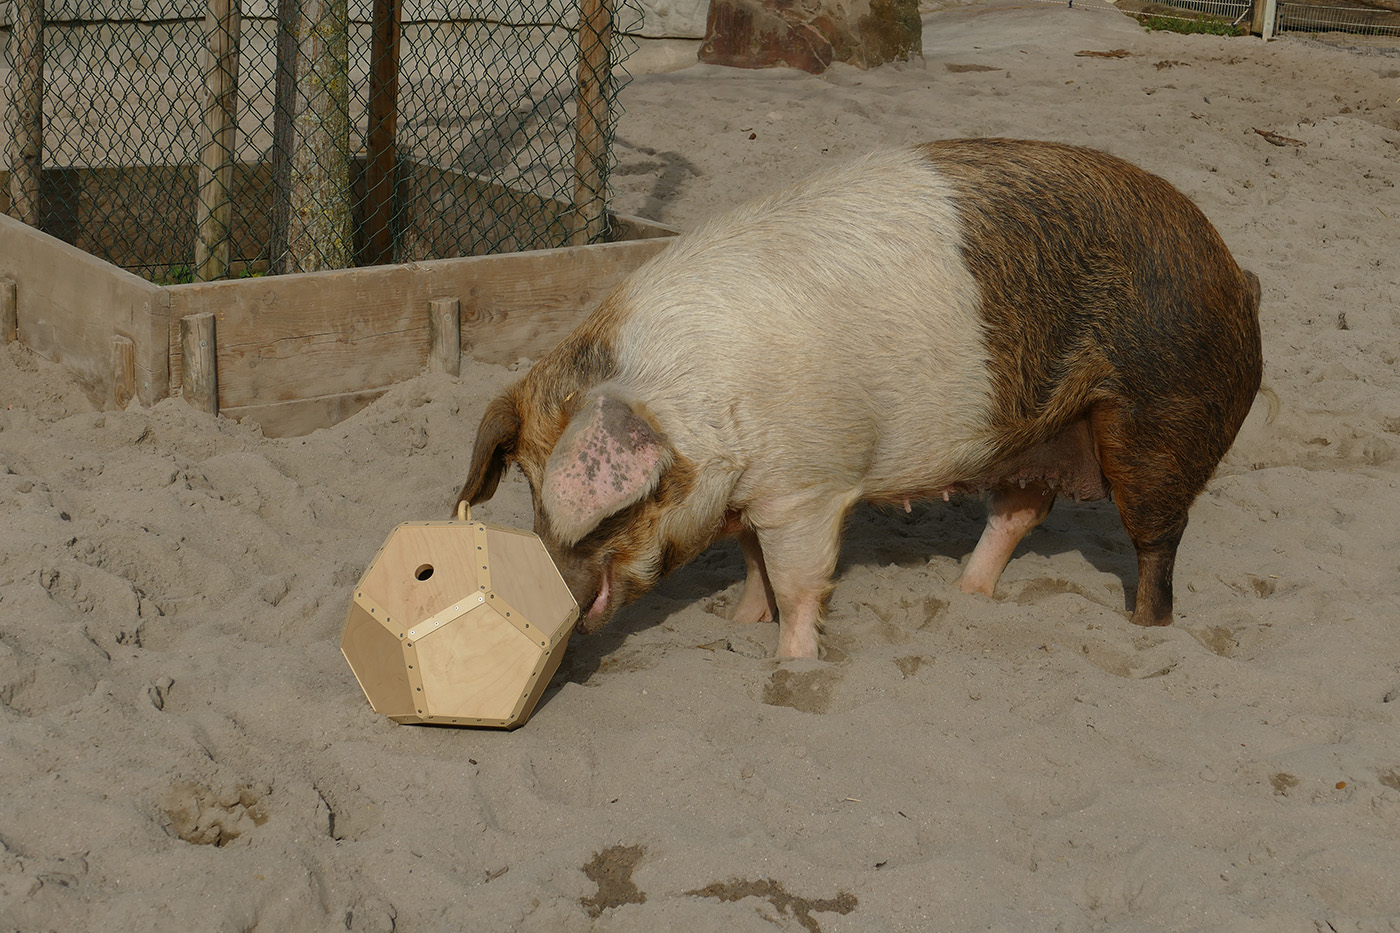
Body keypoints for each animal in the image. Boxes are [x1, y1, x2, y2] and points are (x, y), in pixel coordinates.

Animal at [457, 138, 1263, 659]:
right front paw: (741, 623)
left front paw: (793, 663)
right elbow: (752, 562)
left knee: (1155, 539)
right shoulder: (755, 492)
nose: (551, 594)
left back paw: (1145, 630)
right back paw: (970, 595)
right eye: (526, 484)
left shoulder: (807, 487)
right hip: (1038, 433)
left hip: (1163, 419)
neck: (700, 418)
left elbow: (798, 580)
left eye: (617, 512)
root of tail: (1234, 270)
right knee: (1019, 512)